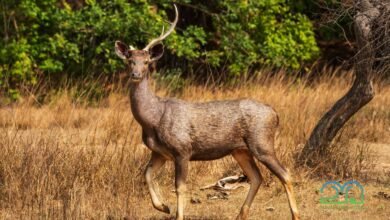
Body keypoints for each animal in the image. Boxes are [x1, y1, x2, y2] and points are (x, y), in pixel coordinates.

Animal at [114, 5, 300, 220]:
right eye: (129, 60)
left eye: (146, 62)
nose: (135, 74)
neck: (153, 120)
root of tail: (275, 113)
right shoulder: (159, 152)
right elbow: (147, 174)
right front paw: (163, 206)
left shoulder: (182, 149)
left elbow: (180, 188)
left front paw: (175, 213)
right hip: (240, 149)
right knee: (256, 177)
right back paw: (241, 215)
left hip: (262, 142)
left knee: (285, 173)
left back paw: (295, 215)